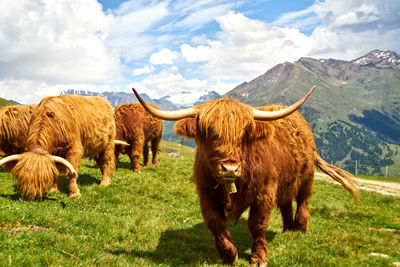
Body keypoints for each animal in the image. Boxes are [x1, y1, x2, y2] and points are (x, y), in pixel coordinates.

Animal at [132, 87, 360, 266]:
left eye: (243, 135)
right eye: (208, 133)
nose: (229, 169)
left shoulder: (264, 193)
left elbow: (257, 224)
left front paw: (259, 258)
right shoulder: (206, 194)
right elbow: (216, 223)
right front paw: (229, 255)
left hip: (306, 177)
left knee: (302, 201)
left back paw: (301, 227)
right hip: (284, 183)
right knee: (286, 203)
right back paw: (287, 229)